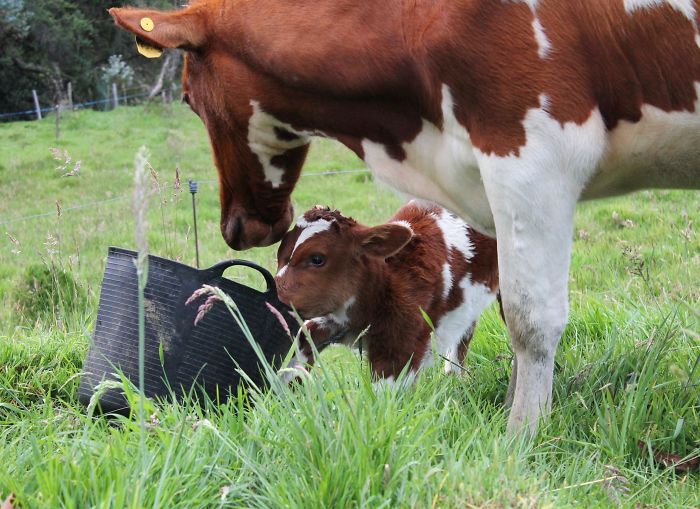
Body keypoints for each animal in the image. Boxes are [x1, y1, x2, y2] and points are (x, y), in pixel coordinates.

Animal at [275, 203, 499, 384]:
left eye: (317, 259)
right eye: (280, 255)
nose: (279, 298)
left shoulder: (402, 345)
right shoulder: (339, 321)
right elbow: (305, 337)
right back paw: (455, 376)